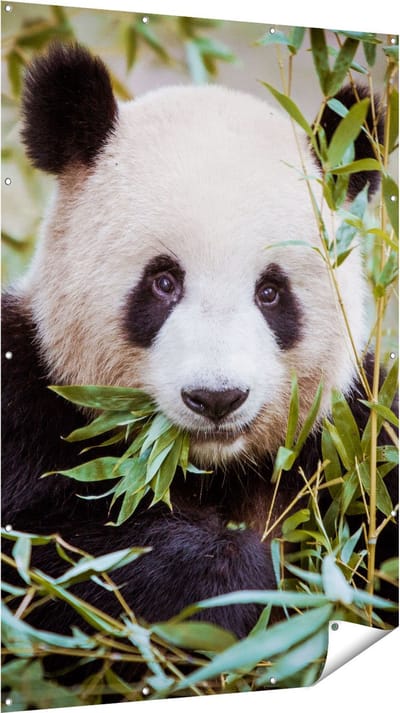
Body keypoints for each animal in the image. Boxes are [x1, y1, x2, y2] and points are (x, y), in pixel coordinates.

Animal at [2, 43, 397, 645]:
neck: (210, 470)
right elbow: (51, 558)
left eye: (270, 292)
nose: (216, 398)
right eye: (164, 282)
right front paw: (231, 577)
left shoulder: (356, 438)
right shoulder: (26, 401)